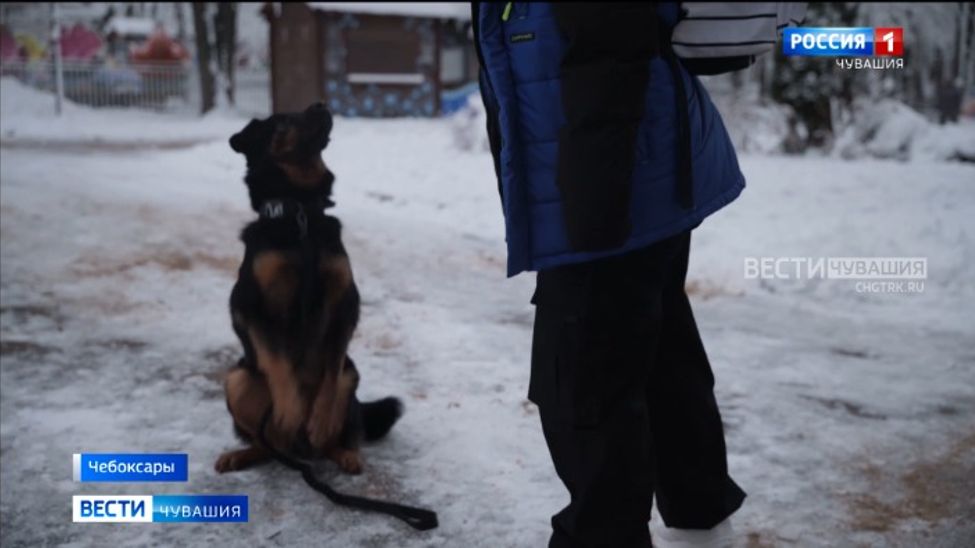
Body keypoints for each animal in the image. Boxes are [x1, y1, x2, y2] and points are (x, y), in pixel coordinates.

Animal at [215, 103, 402, 476]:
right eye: (284, 121)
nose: (321, 105)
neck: (299, 211)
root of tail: (297, 449)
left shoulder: (343, 305)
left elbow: (329, 371)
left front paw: (317, 418)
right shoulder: (251, 305)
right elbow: (279, 363)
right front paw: (291, 408)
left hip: (351, 376)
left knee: (331, 438)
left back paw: (343, 452)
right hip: (238, 379)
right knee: (266, 444)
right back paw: (243, 454)